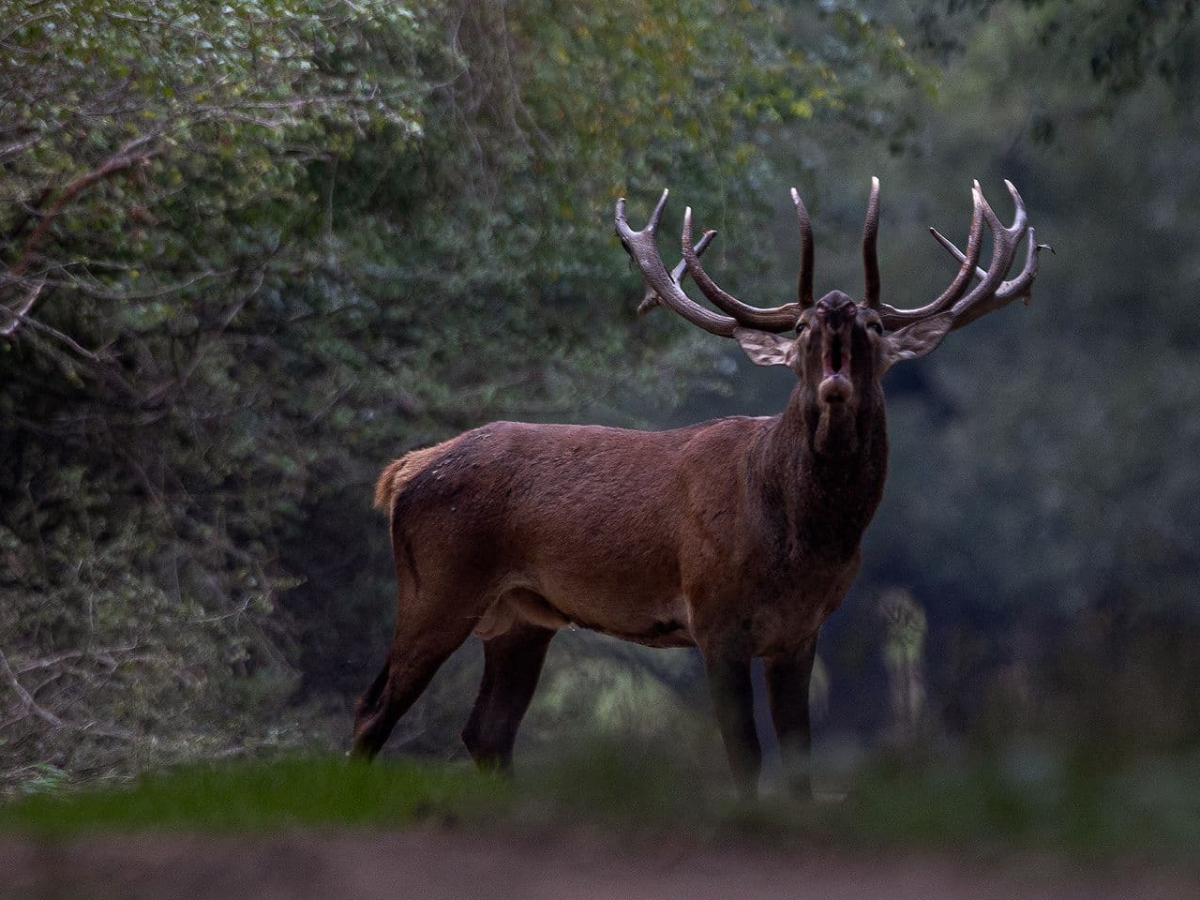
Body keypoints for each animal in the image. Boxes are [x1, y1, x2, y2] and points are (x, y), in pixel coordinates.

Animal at [352, 180, 1041, 801]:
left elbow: (799, 758)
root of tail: (405, 471)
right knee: (374, 708)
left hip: (522, 617)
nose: (837, 304)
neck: (804, 542)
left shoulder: (801, 630)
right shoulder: (713, 616)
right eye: (806, 326)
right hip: (437, 588)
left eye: (871, 324)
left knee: (486, 731)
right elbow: (745, 754)